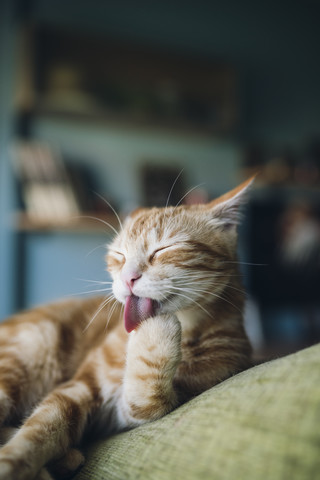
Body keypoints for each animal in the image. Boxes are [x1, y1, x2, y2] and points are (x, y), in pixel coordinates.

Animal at [0, 177, 252, 480]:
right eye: (119, 255)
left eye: (163, 250)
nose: (128, 277)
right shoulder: (79, 388)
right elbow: (40, 430)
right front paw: (13, 462)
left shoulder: (137, 409)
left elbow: (149, 402)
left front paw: (155, 337)